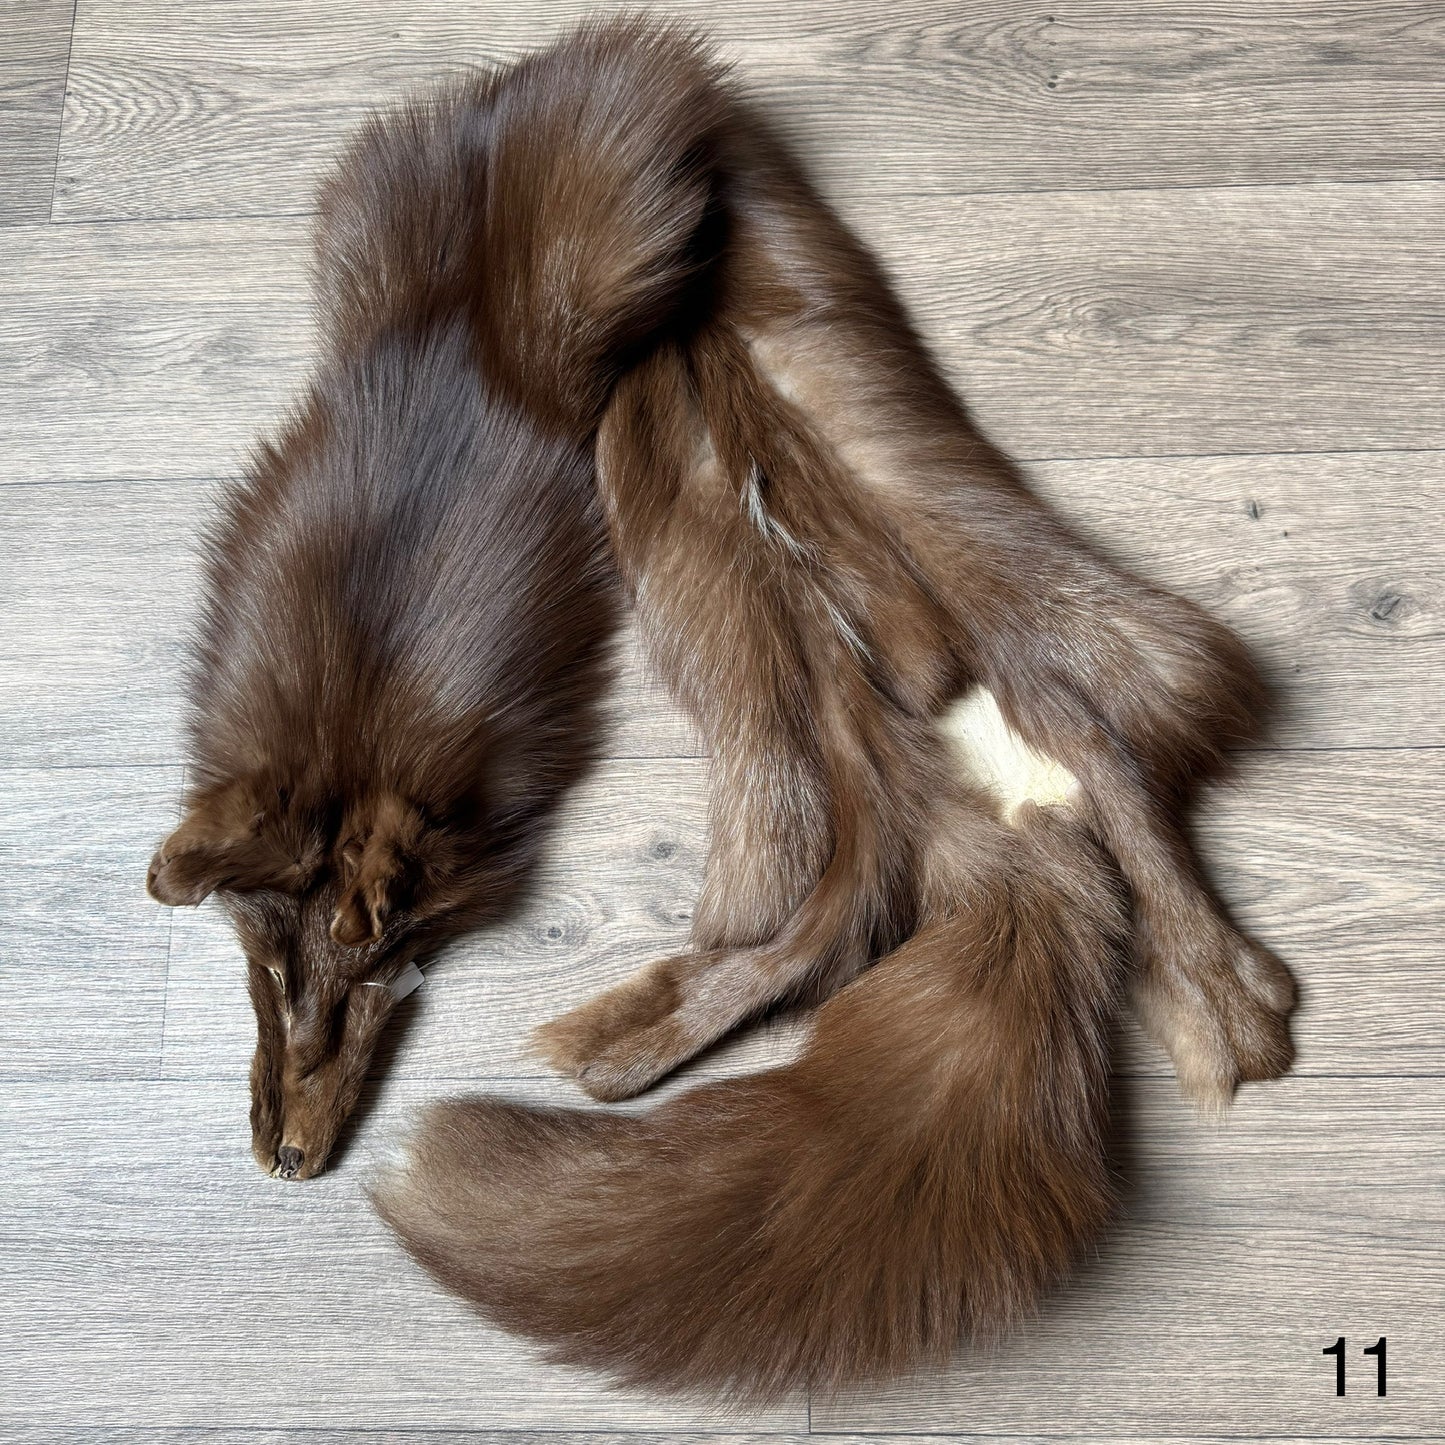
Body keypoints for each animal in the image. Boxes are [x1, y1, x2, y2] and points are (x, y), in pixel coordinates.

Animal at [145, 21, 727, 1179]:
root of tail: (502, 95)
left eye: (383, 974)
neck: (347, 748)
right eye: (269, 970)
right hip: (359, 244)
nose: (291, 1158)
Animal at [373, 22, 1298, 1397]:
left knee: (841, 918)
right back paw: (1233, 1007)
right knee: (1059, 834)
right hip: (881, 723)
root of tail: (1005, 817)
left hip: (818, 756)